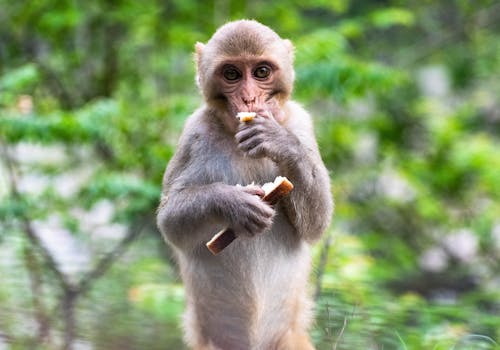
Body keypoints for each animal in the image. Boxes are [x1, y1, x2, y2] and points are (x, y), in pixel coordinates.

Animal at [158, 19, 334, 350]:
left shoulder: (301, 123)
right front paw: (234, 204)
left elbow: (317, 224)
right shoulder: (193, 133)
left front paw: (278, 141)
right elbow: (170, 222)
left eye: (261, 72)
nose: (249, 99)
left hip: (289, 339)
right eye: (232, 74)